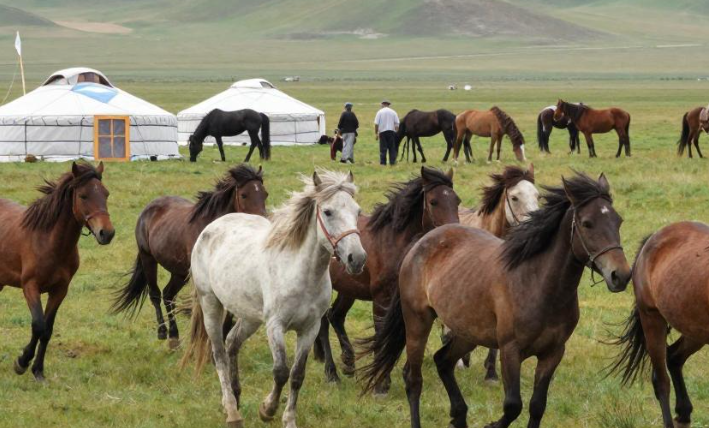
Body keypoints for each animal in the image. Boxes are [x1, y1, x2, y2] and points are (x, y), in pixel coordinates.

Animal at [0, 162, 114, 381]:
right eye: (83, 196)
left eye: (106, 194)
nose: (107, 233)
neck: (50, 241)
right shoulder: (30, 287)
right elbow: (38, 325)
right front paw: (21, 362)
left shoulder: (60, 290)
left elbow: (47, 329)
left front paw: (38, 371)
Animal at [112, 165, 267, 349]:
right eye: (244, 194)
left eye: (265, 194)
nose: (264, 223)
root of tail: (149, 208)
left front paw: (224, 335)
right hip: (148, 259)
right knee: (156, 294)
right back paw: (163, 331)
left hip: (179, 272)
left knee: (168, 295)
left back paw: (174, 336)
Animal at [182, 170, 366, 428]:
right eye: (328, 212)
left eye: (357, 212)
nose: (356, 258)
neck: (300, 272)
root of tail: (212, 227)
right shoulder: (275, 326)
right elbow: (280, 371)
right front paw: (267, 410)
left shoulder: (309, 329)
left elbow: (297, 375)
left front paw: (289, 420)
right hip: (211, 305)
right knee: (218, 353)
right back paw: (232, 411)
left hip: (250, 316)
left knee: (232, 342)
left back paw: (237, 397)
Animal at [312, 167, 460, 391]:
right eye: (434, 201)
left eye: (457, 200)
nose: (454, 232)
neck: (393, 242)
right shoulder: (382, 298)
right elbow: (381, 331)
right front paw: (381, 382)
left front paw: (405, 373)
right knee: (323, 323)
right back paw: (332, 373)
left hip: (349, 289)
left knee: (335, 316)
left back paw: (348, 363)